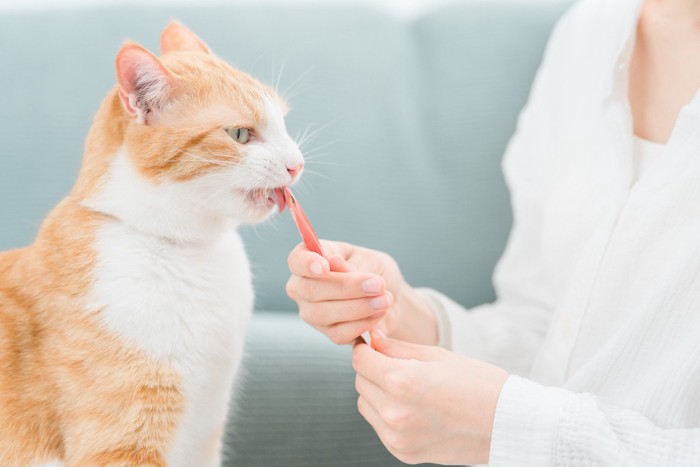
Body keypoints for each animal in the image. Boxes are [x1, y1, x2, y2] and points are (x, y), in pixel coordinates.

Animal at [0, 22, 304, 467]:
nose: (297, 164)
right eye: (240, 134)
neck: (188, 250)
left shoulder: (203, 440)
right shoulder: (122, 443)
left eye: (283, 124)